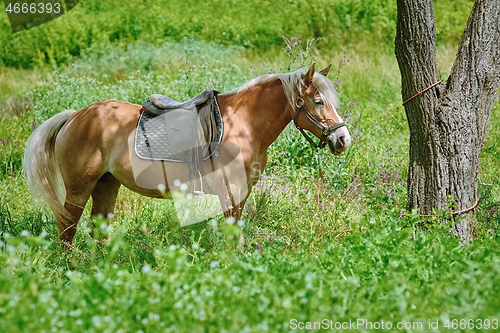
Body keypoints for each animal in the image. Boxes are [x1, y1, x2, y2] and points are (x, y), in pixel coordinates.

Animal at [23, 63, 350, 249]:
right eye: (318, 101)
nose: (343, 139)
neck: (242, 124)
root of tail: (75, 117)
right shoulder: (230, 191)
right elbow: (232, 236)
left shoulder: (241, 194)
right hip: (79, 188)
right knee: (66, 232)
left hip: (106, 185)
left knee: (96, 231)